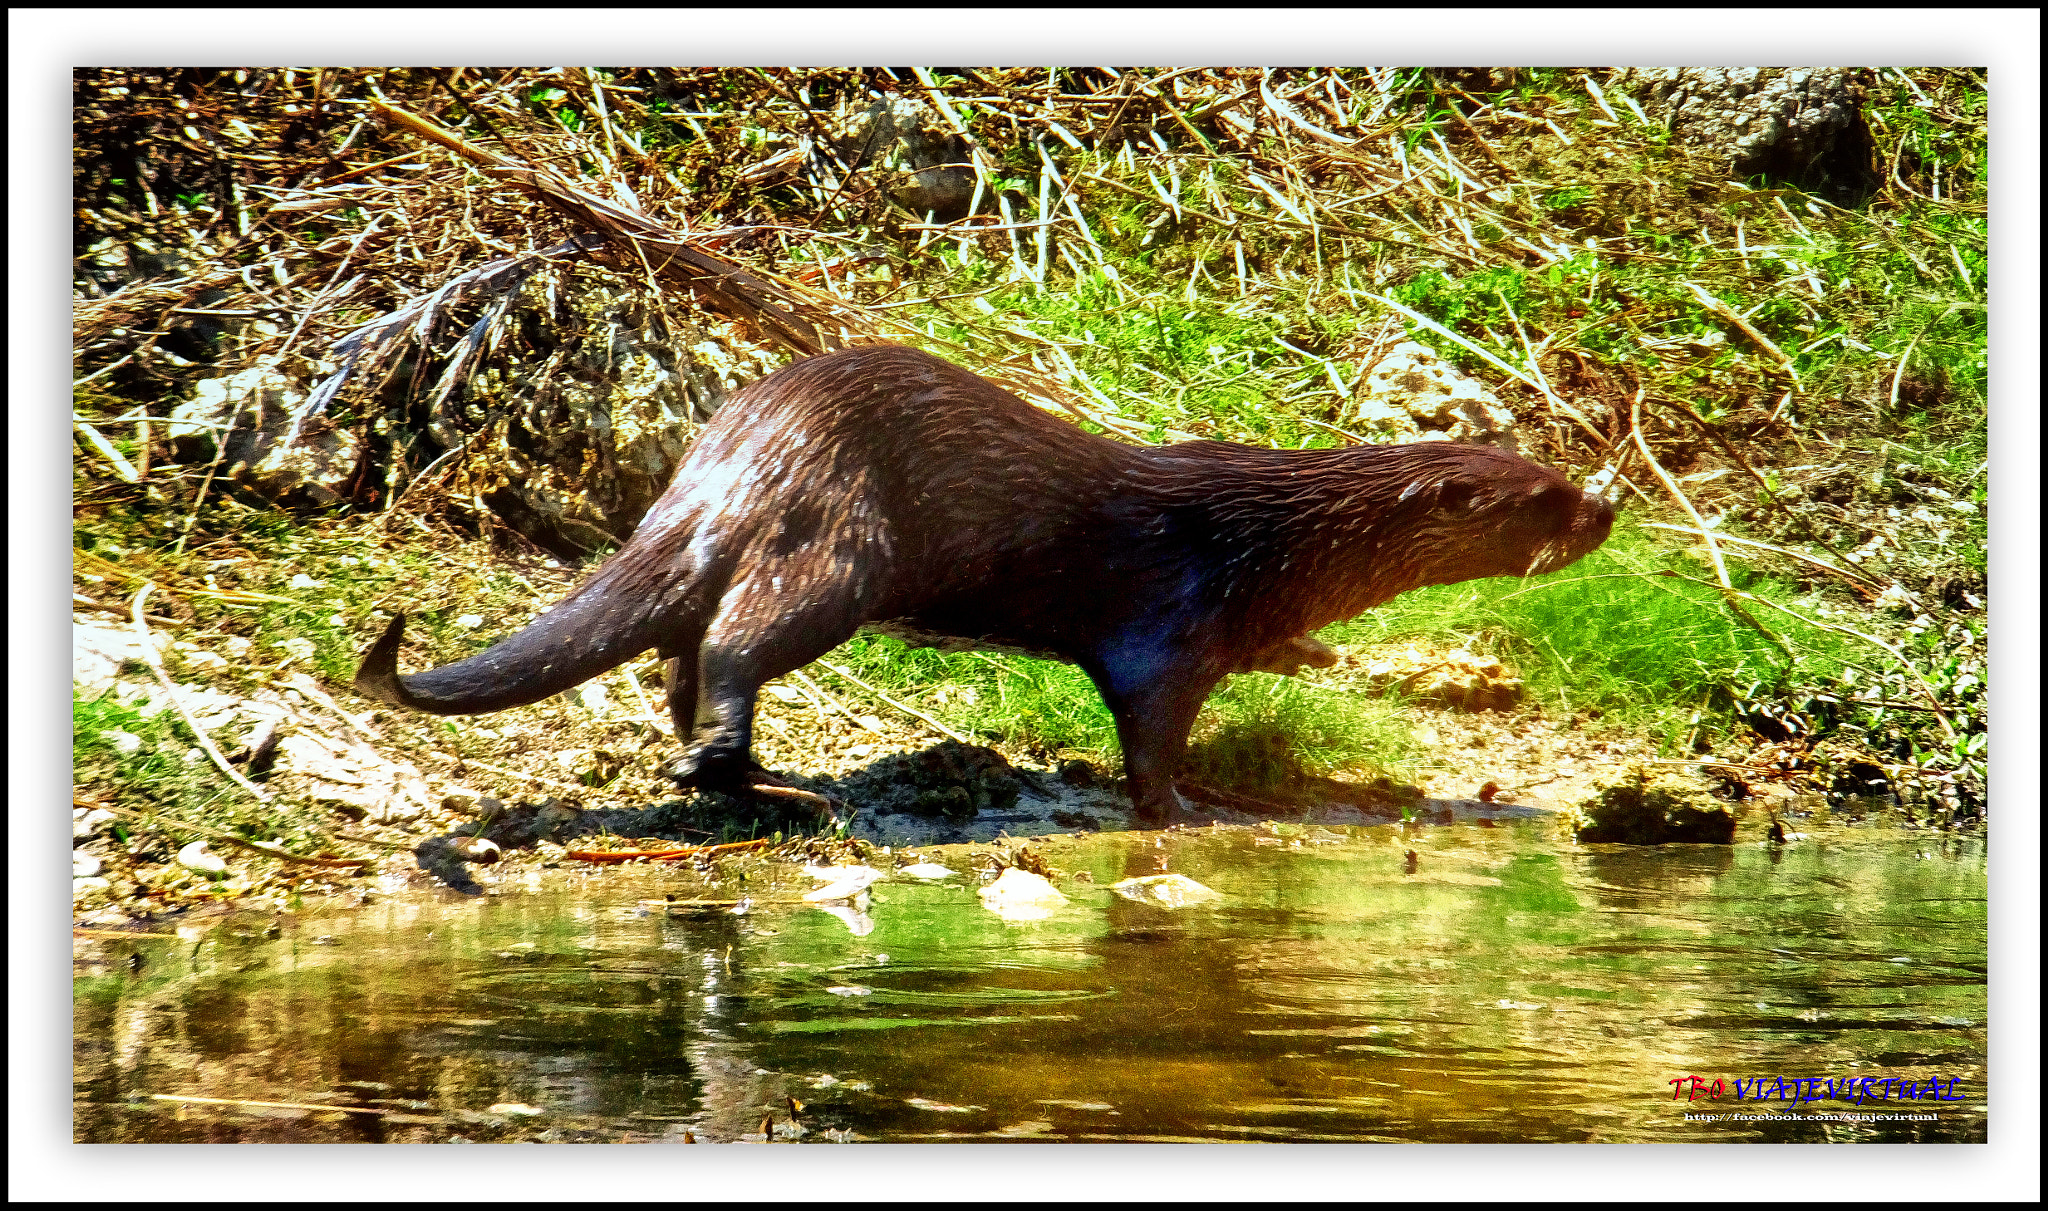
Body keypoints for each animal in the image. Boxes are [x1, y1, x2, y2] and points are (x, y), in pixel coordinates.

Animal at [356, 346, 1613, 827]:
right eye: (1545, 493)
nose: (1604, 509)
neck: (1281, 545)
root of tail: (723, 461)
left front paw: (1303, 659)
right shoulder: (1172, 622)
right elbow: (1149, 732)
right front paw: (1198, 802)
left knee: (682, 654)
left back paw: (743, 775)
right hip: (838, 548)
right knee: (732, 648)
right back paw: (752, 777)